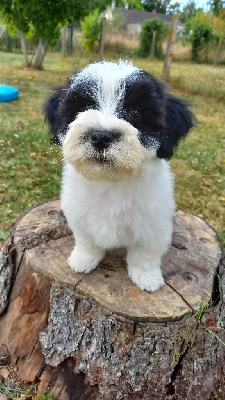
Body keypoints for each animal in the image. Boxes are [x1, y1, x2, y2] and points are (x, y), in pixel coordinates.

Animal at [44, 61, 195, 292]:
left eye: (135, 113)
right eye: (83, 108)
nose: (101, 136)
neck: (111, 182)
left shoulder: (154, 223)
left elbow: (145, 252)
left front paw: (147, 277)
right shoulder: (78, 213)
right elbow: (86, 239)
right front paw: (83, 259)